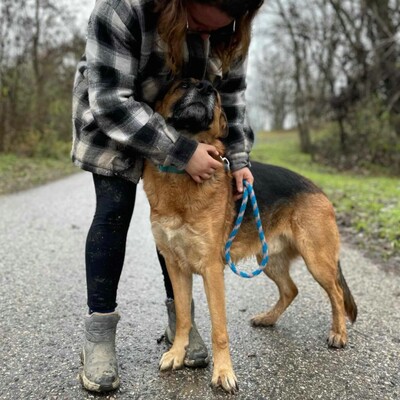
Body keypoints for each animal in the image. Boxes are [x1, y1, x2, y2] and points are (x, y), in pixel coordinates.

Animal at [142, 79, 358, 394]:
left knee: (337, 293)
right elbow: (183, 316)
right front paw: (177, 353)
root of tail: (318, 189)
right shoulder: (175, 266)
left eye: (215, 93)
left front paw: (223, 373)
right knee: (291, 290)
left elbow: (219, 328)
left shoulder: (211, 270)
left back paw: (338, 333)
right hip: (268, 260)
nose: (206, 87)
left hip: (317, 261)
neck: (182, 173)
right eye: (182, 84)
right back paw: (269, 318)